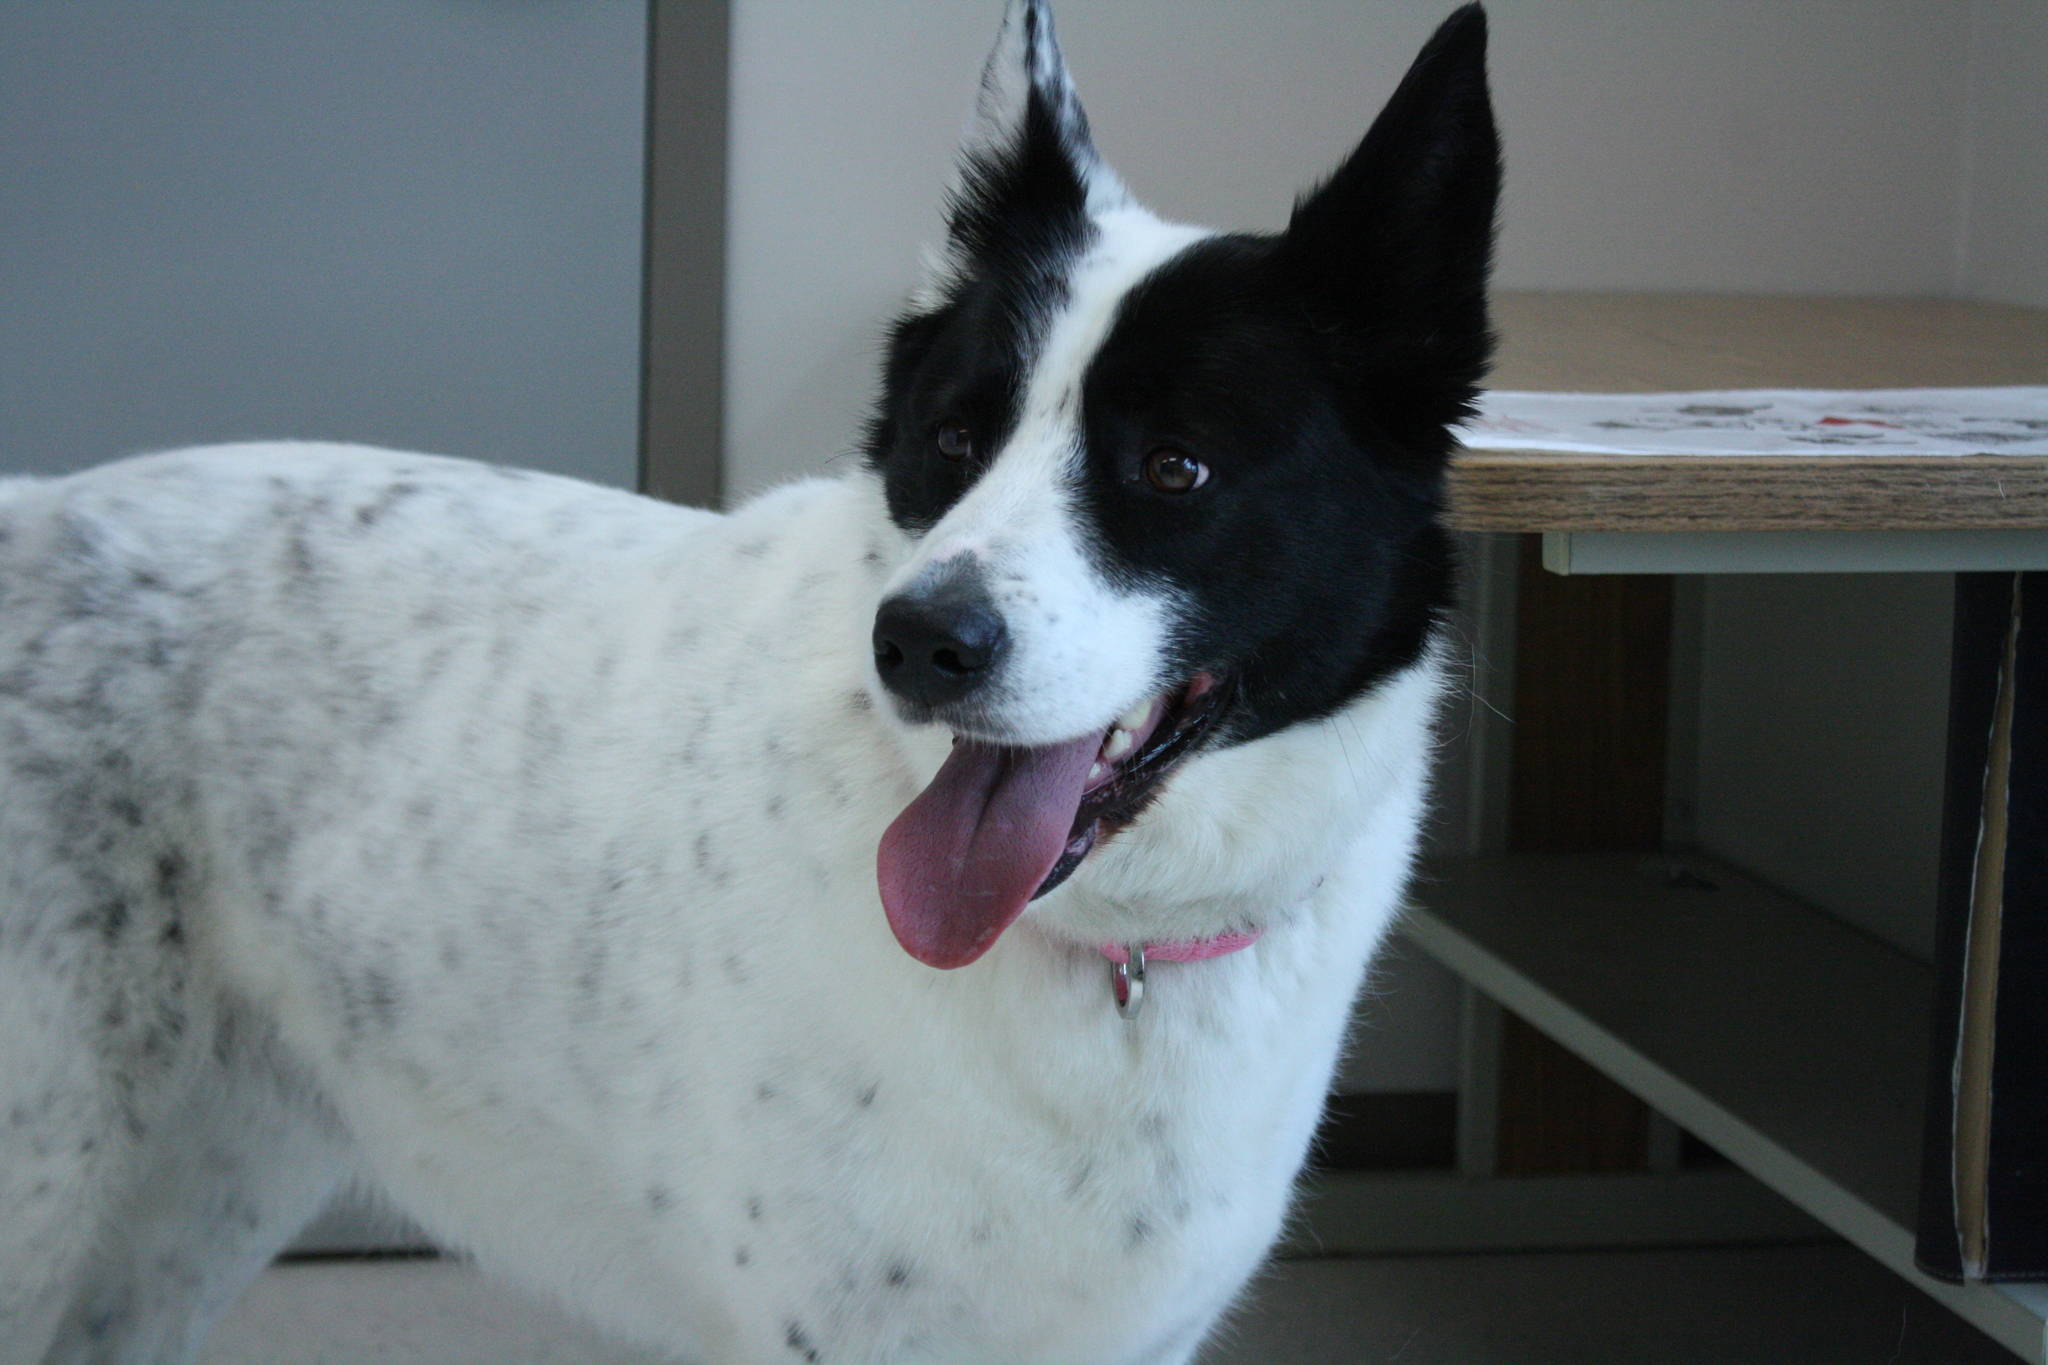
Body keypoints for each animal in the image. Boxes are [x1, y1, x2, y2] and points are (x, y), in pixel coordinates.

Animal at [0, 5, 1507, 1358]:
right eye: (951, 441)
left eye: (1175, 468)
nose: (917, 643)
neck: (1113, 949)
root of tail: (32, 505)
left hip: (192, 1202)